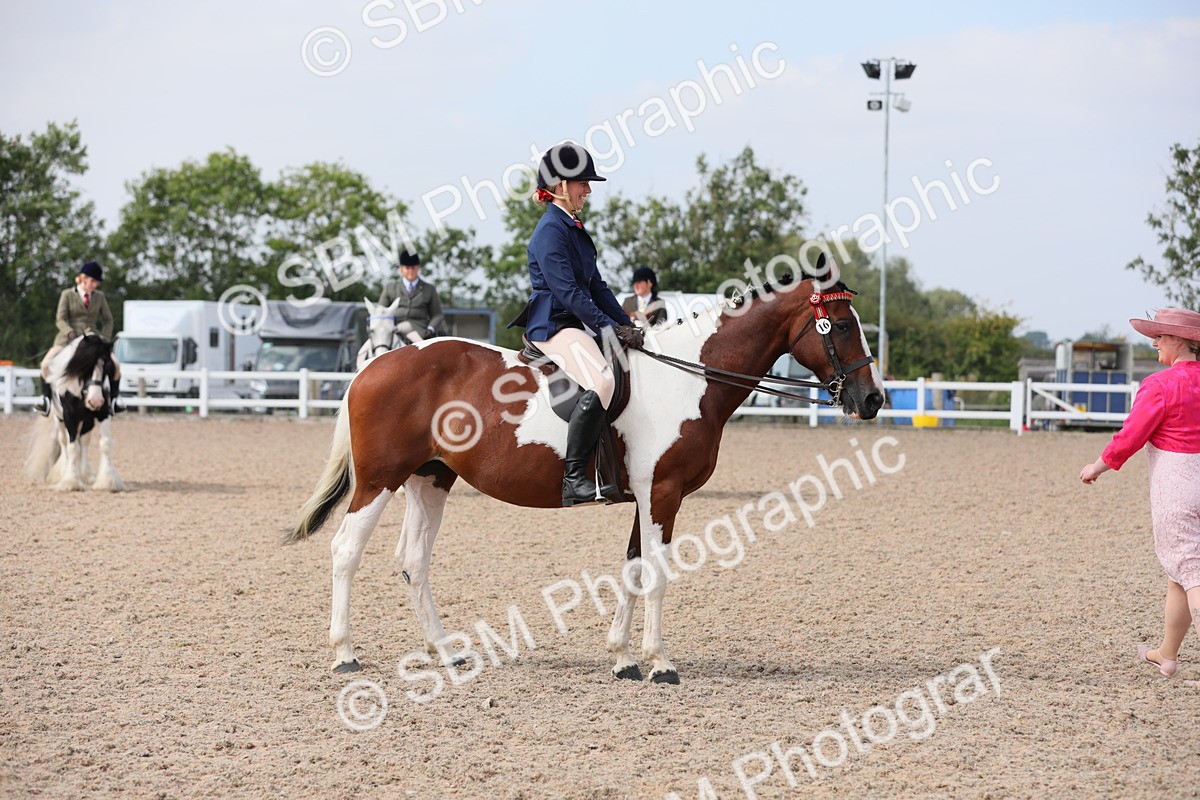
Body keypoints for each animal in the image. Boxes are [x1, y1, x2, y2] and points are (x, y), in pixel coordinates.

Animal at [24, 333, 125, 492]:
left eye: (108, 366)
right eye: (84, 367)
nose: (95, 401)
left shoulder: (102, 414)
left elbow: (105, 444)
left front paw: (108, 482)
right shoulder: (70, 416)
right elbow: (72, 447)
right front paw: (71, 481)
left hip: (87, 421)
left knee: (84, 442)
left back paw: (86, 475)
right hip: (59, 419)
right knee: (64, 442)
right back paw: (61, 474)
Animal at [289, 264, 885, 683]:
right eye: (842, 326)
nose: (873, 399)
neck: (689, 379)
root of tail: (375, 363)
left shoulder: (647, 495)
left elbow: (633, 568)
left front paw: (623, 659)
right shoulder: (663, 493)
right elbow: (657, 574)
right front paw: (660, 663)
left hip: (429, 480)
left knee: (414, 561)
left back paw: (446, 652)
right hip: (379, 481)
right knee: (346, 551)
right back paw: (345, 654)